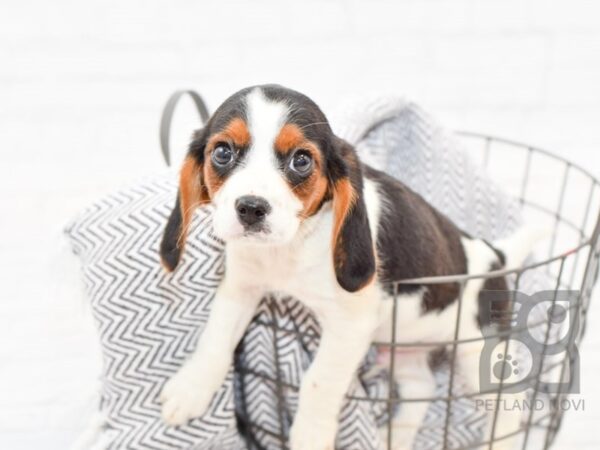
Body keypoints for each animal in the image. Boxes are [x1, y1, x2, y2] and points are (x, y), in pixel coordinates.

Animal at [158, 85, 536, 450]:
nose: (251, 208)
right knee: (421, 387)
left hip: (479, 346)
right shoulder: (240, 289)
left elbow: (320, 380)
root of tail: (495, 255)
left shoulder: (350, 325)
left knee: (507, 405)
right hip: (405, 348)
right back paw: (395, 437)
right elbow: (216, 339)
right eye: (222, 153)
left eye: (301, 160)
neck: (292, 246)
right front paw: (191, 389)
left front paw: (310, 434)